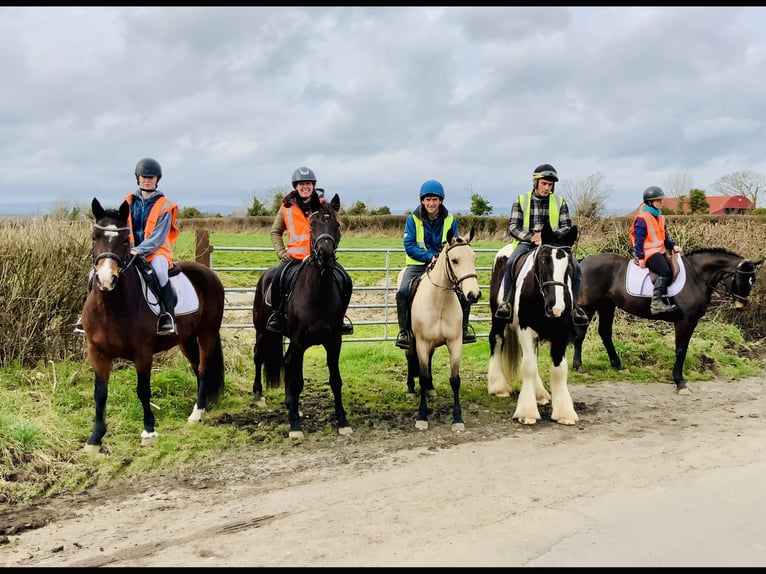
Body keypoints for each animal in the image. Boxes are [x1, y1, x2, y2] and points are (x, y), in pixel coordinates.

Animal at [82, 198, 225, 454]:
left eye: (125, 239)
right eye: (95, 237)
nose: (106, 279)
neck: (110, 307)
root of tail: (208, 274)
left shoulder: (143, 354)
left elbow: (143, 390)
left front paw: (149, 430)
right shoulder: (97, 353)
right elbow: (100, 394)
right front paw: (95, 439)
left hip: (207, 333)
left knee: (202, 368)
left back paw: (196, 414)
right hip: (186, 339)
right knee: (197, 367)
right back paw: (201, 407)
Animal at [252, 194, 354, 440]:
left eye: (336, 225)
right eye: (312, 224)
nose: (325, 254)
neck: (318, 293)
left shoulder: (334, 341)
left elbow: (335, 380)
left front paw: (342, 420)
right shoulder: (299, 342)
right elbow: (297, 380)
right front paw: (295, 425)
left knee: (285, 362)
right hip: (262, 331)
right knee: (259, 356)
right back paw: (259, 396)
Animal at [402, 228, 480, 432]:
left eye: (474, 257)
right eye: (455, 260)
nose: (474, 295)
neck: (439, 302)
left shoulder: (455, 343)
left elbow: (455, 380)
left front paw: (457, 418)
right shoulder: (421, 343)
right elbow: (421, 376)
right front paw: (422, 416)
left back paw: (430, 389)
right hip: (413, 342)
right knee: (410, 357)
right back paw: (410, 389)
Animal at [486, 223, 584, 426]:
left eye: (569, 264)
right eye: (544, 260)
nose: (556, 307)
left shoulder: (561, 333)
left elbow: (559, 369)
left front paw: (564, 413)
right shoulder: (525, 330)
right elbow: (528, 367)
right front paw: (527, 412)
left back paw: (540, 394)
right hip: (498, 319)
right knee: (497, 341)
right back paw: (499, 387)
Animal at [572, 250, 764, 394]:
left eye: (752, 280)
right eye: (740, 279)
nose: (741, 305)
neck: (696, 277)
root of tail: (583, 261)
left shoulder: (692, 322)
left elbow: (683, 349)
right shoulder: (684, 321)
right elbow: (680, 351)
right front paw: (679, 382)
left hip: (607, 305)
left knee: (605, 332)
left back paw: (618, 365)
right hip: (589, 306)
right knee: (580, 334)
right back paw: (579, 367)